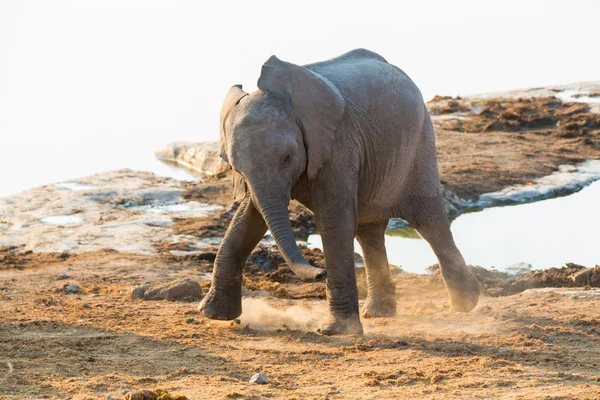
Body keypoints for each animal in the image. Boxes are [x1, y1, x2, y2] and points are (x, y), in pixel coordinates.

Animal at [199, 48, 480, 336]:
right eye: (235, 168)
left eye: (287, 158)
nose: (319, 272)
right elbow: (248, 217)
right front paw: (214, 314)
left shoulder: (338, 145)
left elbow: (334, 220)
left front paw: (336, 331)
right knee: (369, 232)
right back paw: (378, 313)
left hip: (419, 142)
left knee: (428, 220)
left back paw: (467, 303)